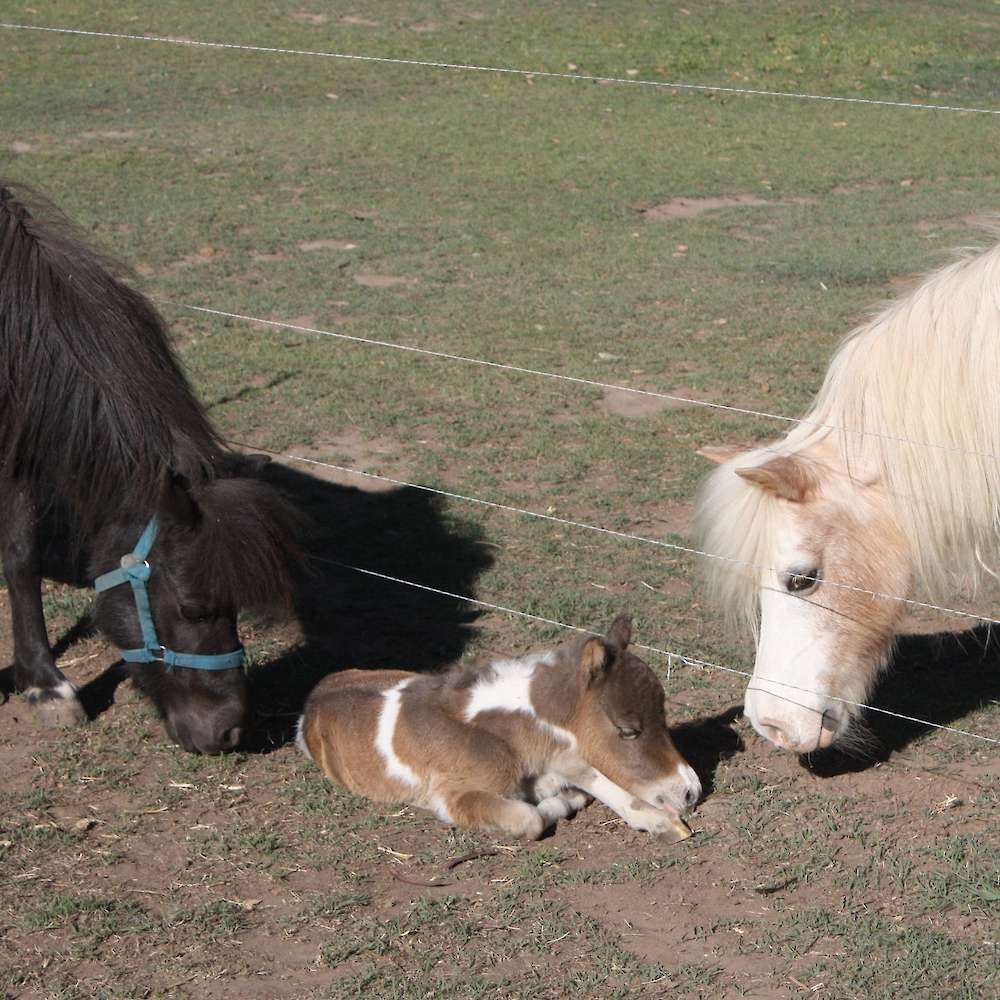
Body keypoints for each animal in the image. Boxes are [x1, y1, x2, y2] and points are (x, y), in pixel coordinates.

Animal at [297, 614, 701, 839]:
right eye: (628, 730)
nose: (691, 792)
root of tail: (314, 695)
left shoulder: (562, 755)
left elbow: (591, 778)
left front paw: (658, 821)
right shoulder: (454, 797)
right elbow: (529, 818)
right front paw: (557, 800)